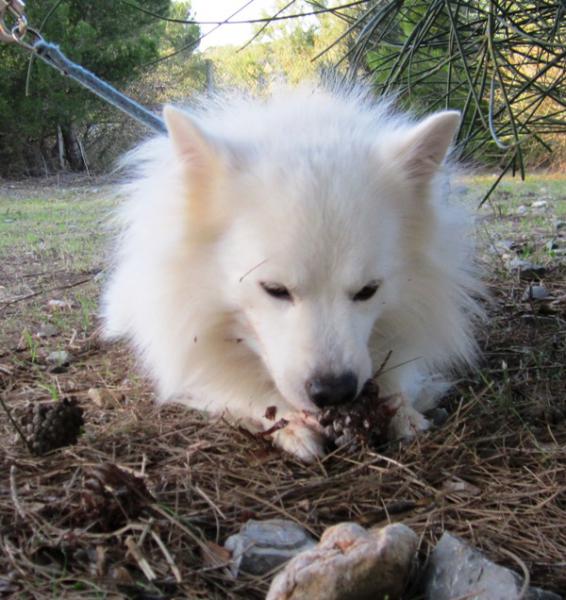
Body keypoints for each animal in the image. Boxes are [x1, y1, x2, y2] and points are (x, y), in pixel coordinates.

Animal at [102, 83, 484, 460]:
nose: (334, 392)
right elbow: (229, 384)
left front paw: (402, 409)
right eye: (274, 289)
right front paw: (287, 423)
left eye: (368, 290)